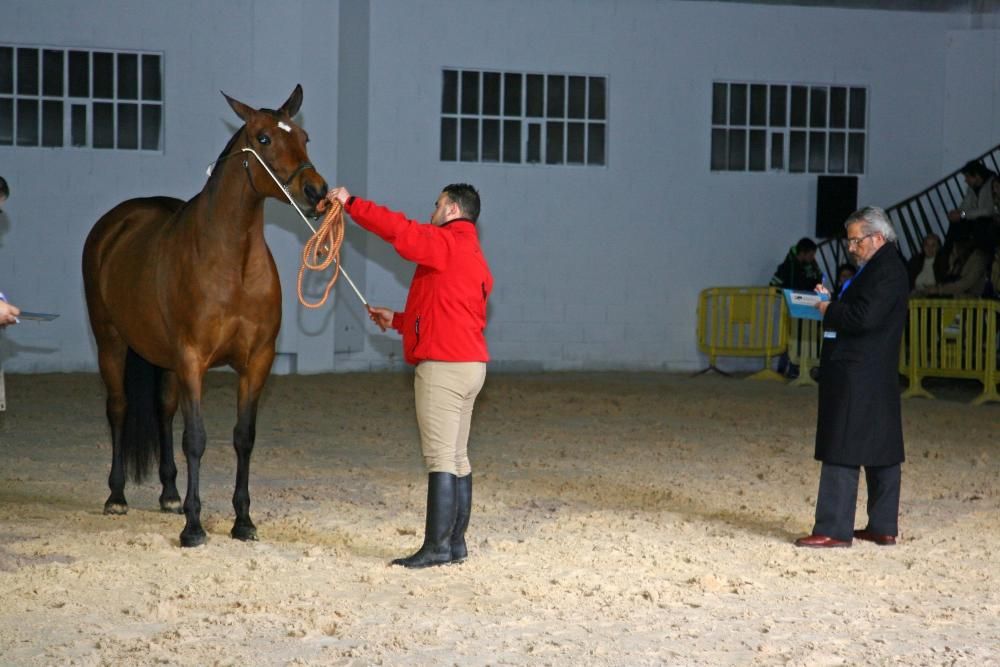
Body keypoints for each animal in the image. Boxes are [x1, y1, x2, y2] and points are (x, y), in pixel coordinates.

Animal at [85, 86, 328, 544]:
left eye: (305, 136)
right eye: (264, 138)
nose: (316, 192)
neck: (232, 263)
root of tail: (116, 223)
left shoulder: (256, 362)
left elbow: (243, 438)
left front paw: (243, 520)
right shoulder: (192, 359)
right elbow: (195, 439)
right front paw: (194, 527)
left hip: (162, 359)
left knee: (162, 410)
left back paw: (169, 495)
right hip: (111, 342)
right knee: (118, 408)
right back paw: (116, 497)